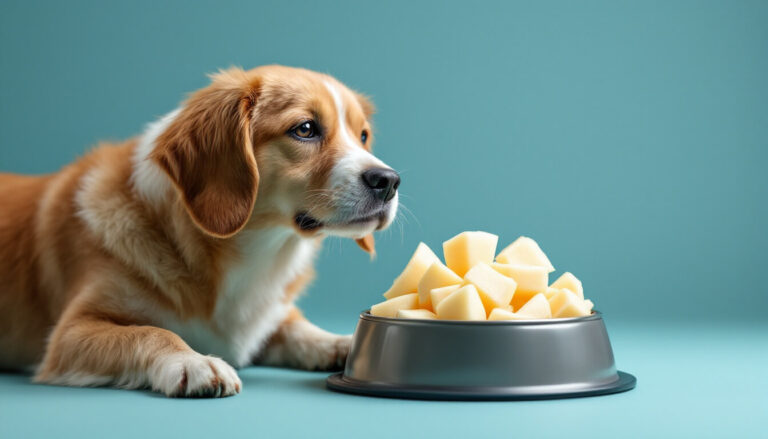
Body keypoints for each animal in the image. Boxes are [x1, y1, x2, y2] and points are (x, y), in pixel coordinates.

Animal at [0, 65, 400, 398]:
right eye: (305, 129)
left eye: (363, 136)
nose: (389, 181)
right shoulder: (69, 334)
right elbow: (150, 331)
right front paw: (193, 361)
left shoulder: (268, 317)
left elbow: (298, 327)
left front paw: (343, 343)